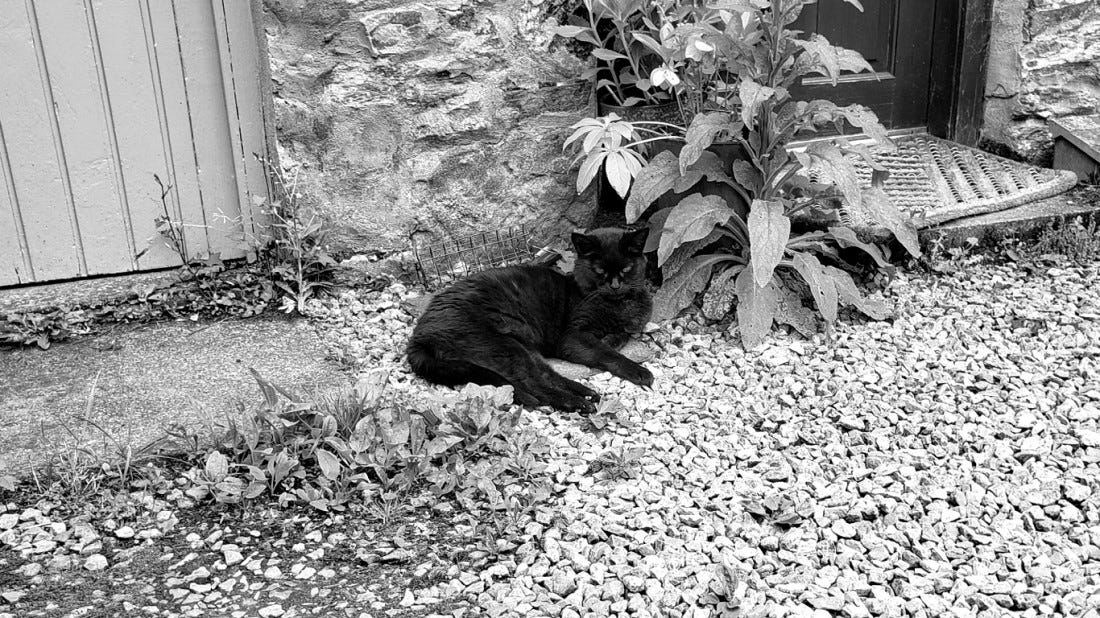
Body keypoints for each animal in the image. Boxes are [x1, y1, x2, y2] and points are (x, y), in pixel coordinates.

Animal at [407, 227, 651, 413]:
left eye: (627, 268)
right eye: (599, 271)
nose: (615, 286)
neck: (617, 305)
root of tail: (419, 337)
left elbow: (623, 333)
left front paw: (613, 337)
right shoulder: (572, 337)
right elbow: (606, 352)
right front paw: (638, 371)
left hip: (523, 348)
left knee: (546, 375)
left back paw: (587, 393)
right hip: (505, 346)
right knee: (535, 384)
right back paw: (578, 402)